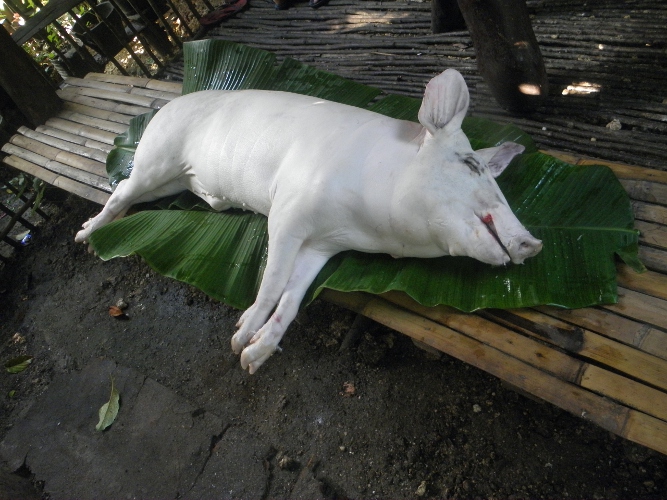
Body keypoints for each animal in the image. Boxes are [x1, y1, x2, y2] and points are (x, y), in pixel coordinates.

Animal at [75, 68, 544, 374]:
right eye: (470, 166)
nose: (533, 242)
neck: (366, 224)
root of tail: (166, 104)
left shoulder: (324, 245)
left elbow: (294, 294)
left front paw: (250, 359)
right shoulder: (288, 211)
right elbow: (272, 281)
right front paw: (238, 337)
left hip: (171, 180)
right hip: (157, 157)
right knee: (121, 191)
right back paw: (85, 236)